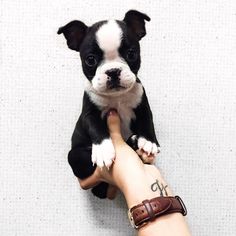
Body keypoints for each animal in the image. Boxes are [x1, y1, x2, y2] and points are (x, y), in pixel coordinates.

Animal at [57, 9, 160, 197]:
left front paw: (148, 141)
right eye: (90, 59)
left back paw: (134, 142)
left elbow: (147, 121)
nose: (113, 71)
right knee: (80, 160)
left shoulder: (142, 105)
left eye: (131, 54)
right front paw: (104, 150)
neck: (116, 97)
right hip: (74, 156)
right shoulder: (89, 114)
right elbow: (96, 128)